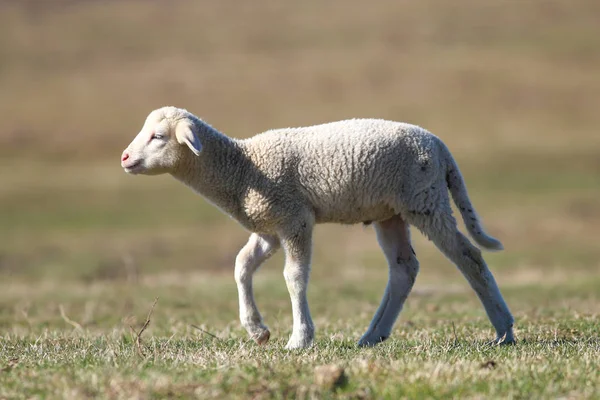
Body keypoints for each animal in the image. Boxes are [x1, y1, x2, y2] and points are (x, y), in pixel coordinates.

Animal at [119, 107, 512, 350]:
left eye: (157, 137)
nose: (124, 157)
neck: (243, 169)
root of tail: (441, 147)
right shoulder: (269, 226)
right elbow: (241, 265)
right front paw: (257, 329)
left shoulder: (295, 218)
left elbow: (293, 277)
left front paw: (300, 339)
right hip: (391, 213)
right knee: (404, 268)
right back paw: (373, 335)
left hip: (426, 200)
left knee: (469, 257)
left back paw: (504, 329)